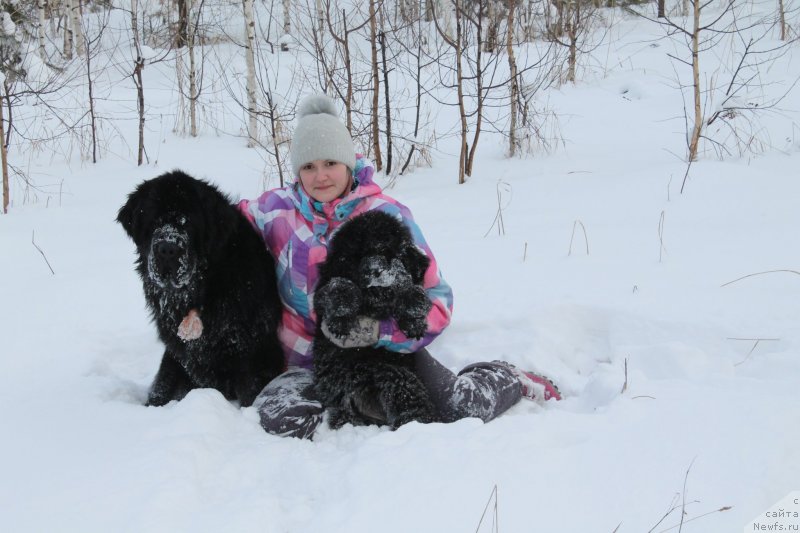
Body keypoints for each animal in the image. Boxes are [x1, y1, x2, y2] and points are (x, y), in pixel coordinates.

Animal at [116, 172, 284, 406]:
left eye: (187, 222)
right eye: (154, 220)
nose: (167, 249)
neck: (201, 292)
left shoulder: (252, 351)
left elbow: (251, 391)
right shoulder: (177, 353)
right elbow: (163, 384)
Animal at [312, 209, 438, 428]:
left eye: (387, 252)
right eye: (358, 256)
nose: (374, 271)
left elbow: (411, 289)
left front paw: (414, 319)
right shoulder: (325, 289)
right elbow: (340, 286)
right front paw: (340, 321)